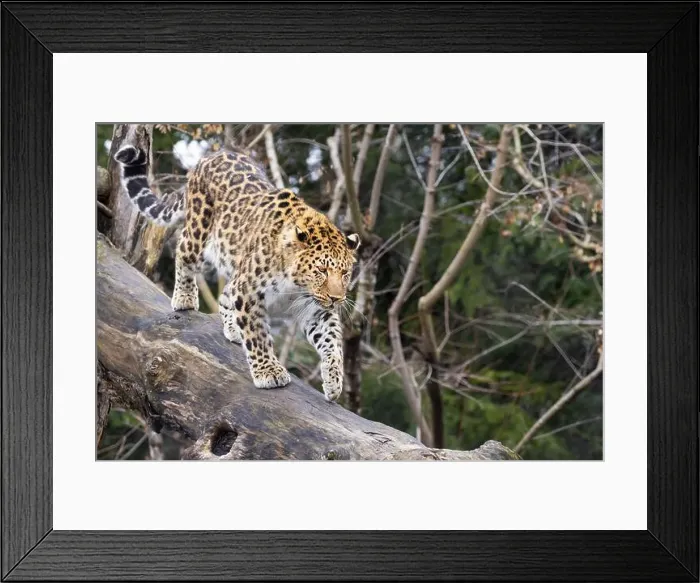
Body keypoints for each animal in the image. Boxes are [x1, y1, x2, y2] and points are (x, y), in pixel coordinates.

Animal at [114, 144, 359, 402]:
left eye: (345, 274)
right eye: (322, 270)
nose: (337, 298)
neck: (297, 284)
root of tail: (213, 155)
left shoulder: (315, 310)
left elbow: (332, 342)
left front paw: (334, 381)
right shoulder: (249, 292)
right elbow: (257, 335)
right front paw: (268, 372)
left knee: (225, 294)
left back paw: (231, 327)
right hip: (198, 235)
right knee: (183, 251)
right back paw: (184, 298)